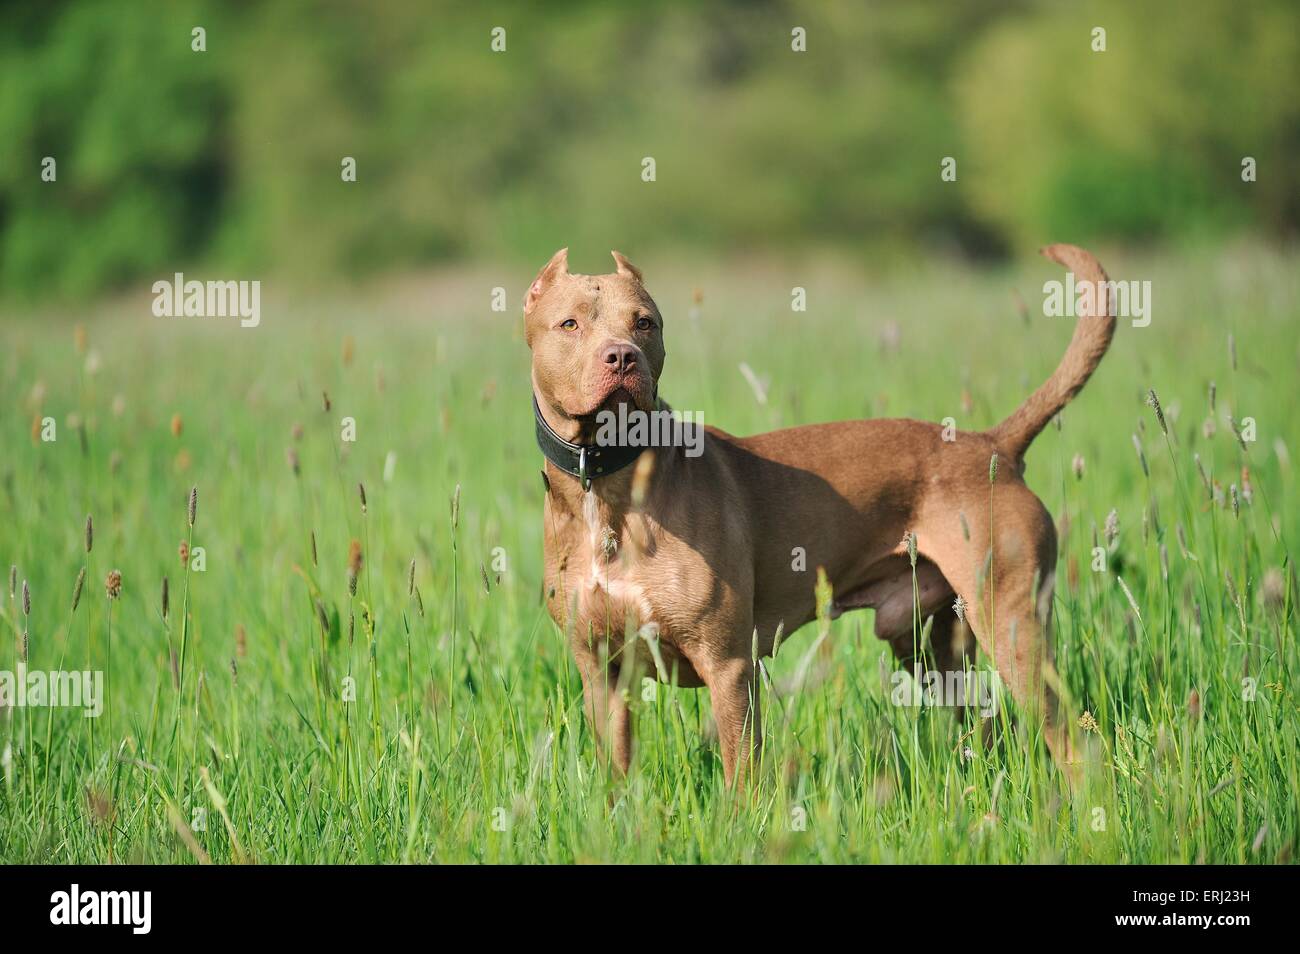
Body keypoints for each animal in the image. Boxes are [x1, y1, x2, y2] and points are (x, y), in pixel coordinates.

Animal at [522, 240, 1112, 785]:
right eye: (570, 323)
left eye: (644, 323)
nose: (622, 356)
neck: (608, 485)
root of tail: (994, 446)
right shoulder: (601, 674)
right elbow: (615, 774)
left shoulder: (728, 665)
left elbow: (742, 775)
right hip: (932, 644)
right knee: (984, 723)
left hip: (1013, 627)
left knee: (1069, 737)